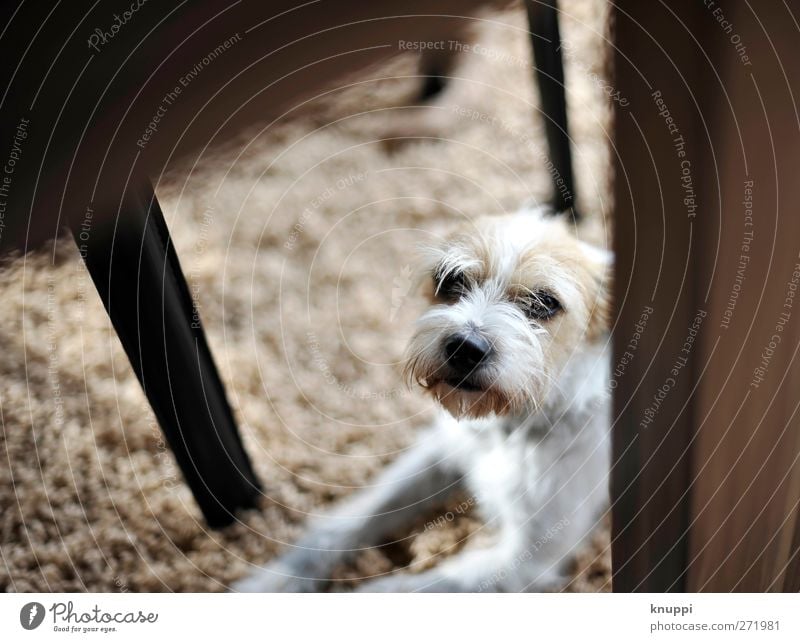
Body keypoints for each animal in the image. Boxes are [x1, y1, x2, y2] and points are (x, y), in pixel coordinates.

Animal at [236, 206, 612, 592]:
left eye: (545, 303)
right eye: (451, 280)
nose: (465, 348)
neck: (509, 432)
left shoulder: (525, 558)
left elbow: (395, 589)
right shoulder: (440, 451)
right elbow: (346, 521)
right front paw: (272, 581)